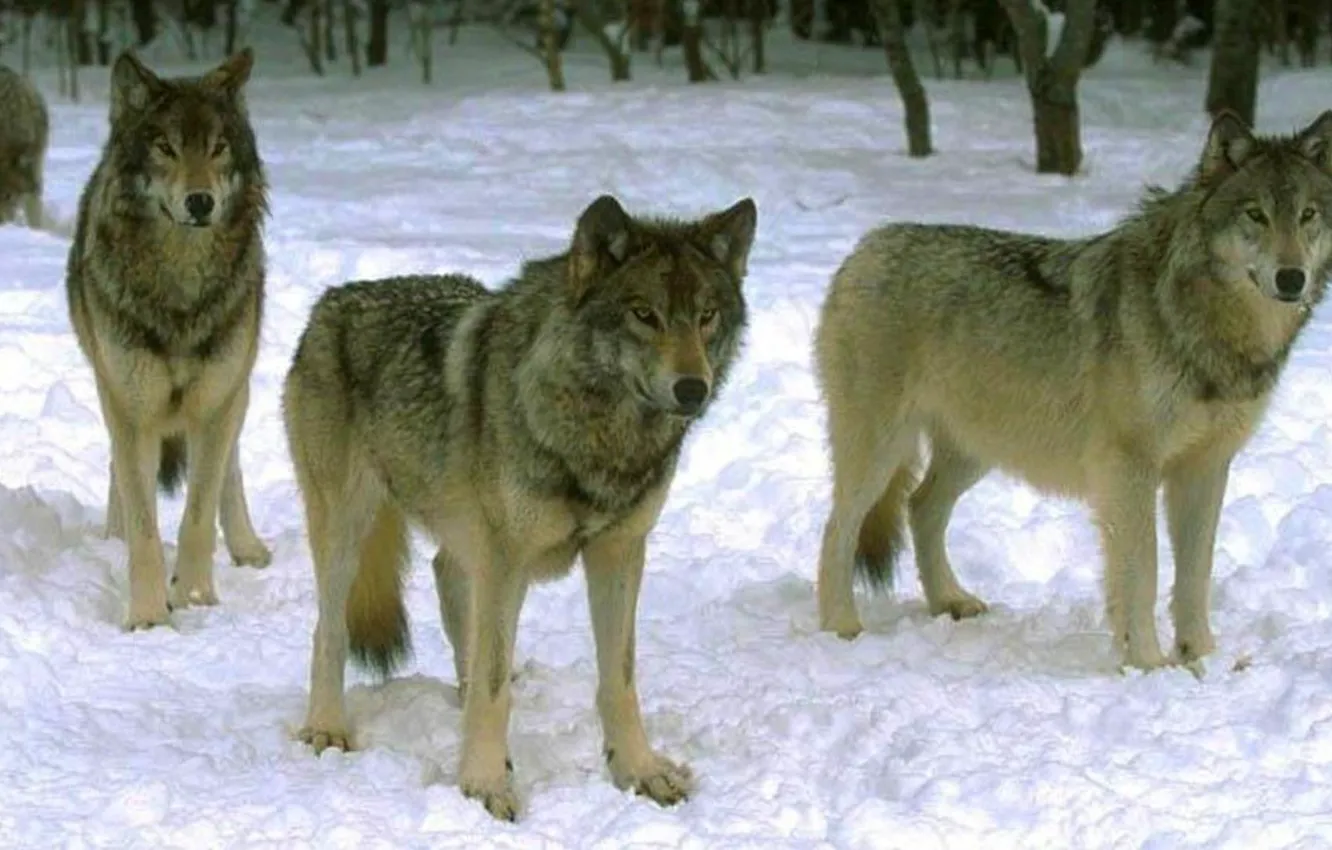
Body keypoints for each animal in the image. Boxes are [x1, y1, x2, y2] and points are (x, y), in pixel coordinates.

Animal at [64, 47, 273, 632]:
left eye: (218, 148)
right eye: (166, 148)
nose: (200, 202)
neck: (181, 287)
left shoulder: (216, 401)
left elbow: (199, 513)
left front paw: (197, 596)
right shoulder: (131, 408)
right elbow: (145, 526)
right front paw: (149, 616)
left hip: (235, 387)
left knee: (230, 469)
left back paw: (247, 547)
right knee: (120, 473)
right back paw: (112, 536)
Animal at [282, 193, 757, 821]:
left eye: (706, 316)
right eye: (644, 314)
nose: (692, 389)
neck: (598, 434)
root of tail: (331, 301)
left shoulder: (618, 552)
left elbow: (618, 680)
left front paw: (640, 771)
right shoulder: (508, 560)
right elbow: (493, 691)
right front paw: (484, 784)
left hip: (464, 539)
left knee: (450, 587)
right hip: (347, 530)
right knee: (328, 630)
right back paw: (326, 728)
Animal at [814, 109, 1332, 673]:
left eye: (1307, 215)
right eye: (1256, 215)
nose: (1291, 278)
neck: (1206, 325)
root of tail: (864, 247)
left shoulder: (1206, 468)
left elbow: (1196, 575)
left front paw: (1203, 659)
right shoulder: (1128, 468)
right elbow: (1144, 572)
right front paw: (1148, 663)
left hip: (977, 450)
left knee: (920, 506)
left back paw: (948, 600)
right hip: (880, 452)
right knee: (838, 527)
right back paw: (841, 627)